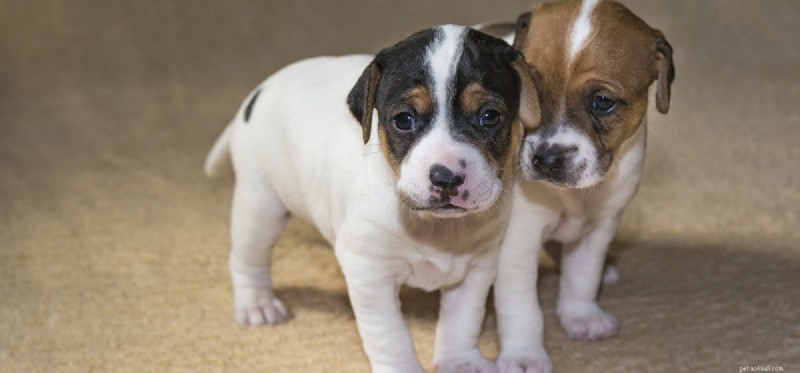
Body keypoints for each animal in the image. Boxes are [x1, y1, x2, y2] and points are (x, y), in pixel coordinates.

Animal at [206, 24, 536, 370]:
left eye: (489, 116)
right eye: (404, 119)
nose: (446, 178)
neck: (435, 228)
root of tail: (258, 93)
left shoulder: (477, 267)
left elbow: (463, 321)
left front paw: (461, 362)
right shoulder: (369, 272)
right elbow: (390, 335)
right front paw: (403, 368)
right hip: (261, 207)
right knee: (246, 259)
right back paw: (257, 303)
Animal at [482, 1, 676, 370]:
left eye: (602, 101)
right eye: (532, 91)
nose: (546, 158)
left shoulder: (600, 227)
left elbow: (582, 276)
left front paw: (580, 315)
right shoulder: (518, 241)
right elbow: (521, 307)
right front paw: (524, 354)